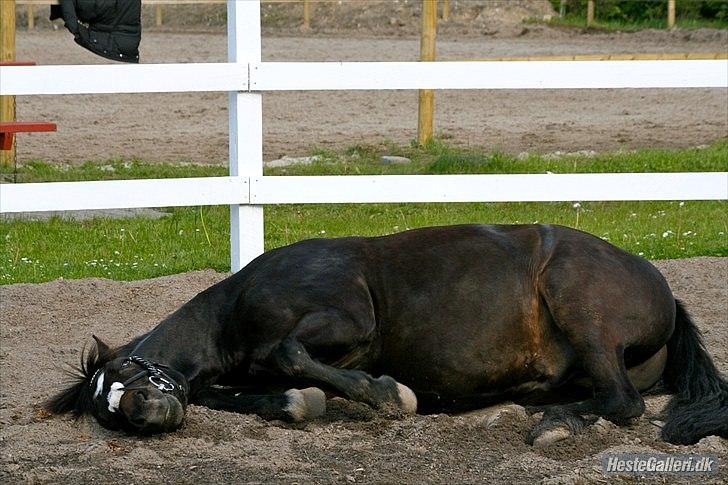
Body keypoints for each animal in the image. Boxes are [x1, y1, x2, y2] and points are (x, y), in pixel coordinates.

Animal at [48, 223, 724, 442]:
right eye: (106, 407)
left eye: (122, 374)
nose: (141, 411)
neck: (231, 314)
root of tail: (662, 288)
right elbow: (275, 394)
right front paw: (305, 401)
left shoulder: (350, 317)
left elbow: (291, 351)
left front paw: (386, 393)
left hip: (583, 311)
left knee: (624, 403)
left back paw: (557, 423)